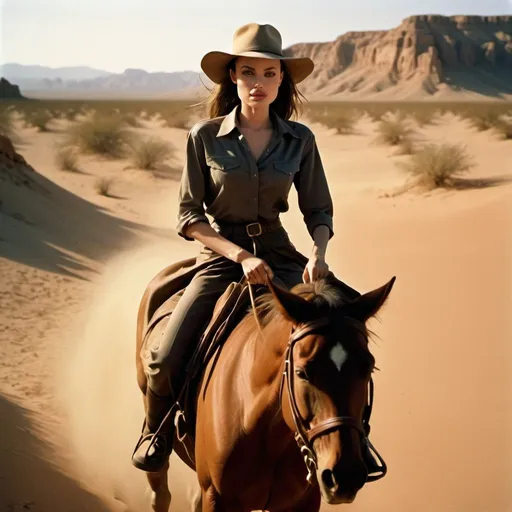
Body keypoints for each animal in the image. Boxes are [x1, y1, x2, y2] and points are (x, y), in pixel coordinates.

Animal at [134, 276, 394, 512]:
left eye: (368, 368)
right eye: (301, 372)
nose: (345, 476)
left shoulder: (303, 503)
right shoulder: (217, 498)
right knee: (160, 491)